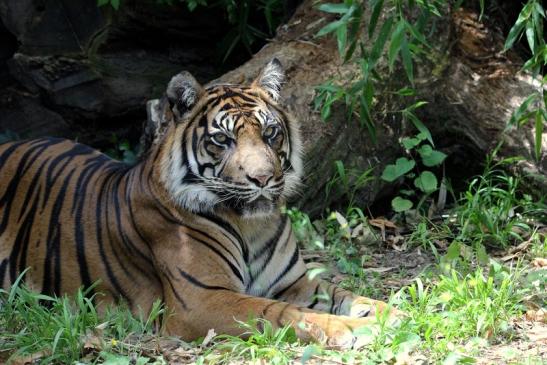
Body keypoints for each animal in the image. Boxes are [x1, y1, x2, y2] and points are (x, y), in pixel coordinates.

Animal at [1, 59, 402, 346]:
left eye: (270, 133)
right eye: (222, 140)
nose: (262, 179)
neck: (252, 226)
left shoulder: (296, 284)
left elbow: (347, 294)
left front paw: (393, 312)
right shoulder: (203, 300)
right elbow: (280, 313)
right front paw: (348, 330)